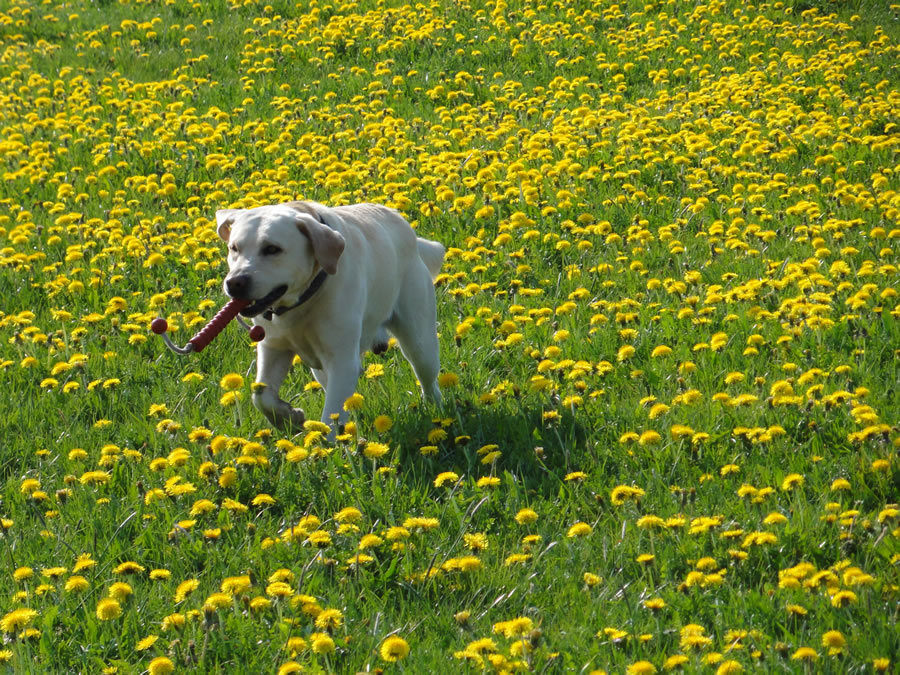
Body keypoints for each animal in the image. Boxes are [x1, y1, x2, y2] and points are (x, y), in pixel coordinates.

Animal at [218, 201, 442, 434]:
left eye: (272, 249)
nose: (234, 283)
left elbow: (331, 417)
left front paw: (326, 440)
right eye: (234, 248)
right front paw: (289, 417)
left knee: (429, 379)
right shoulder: (273, 347)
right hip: (320, 369)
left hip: (420, 342)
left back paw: (435, 410)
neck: (299, 303)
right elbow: (261, 396)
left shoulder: (342, 361)